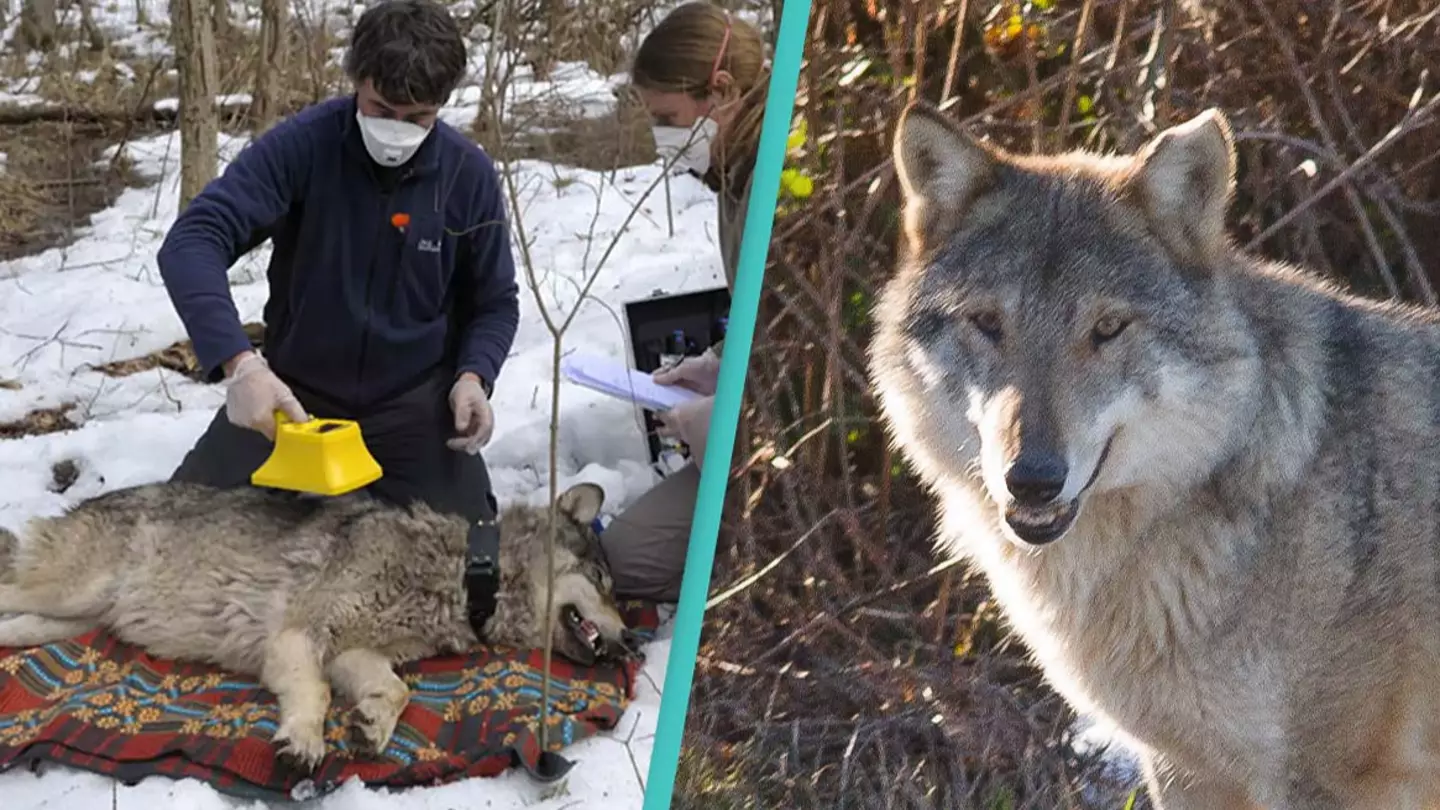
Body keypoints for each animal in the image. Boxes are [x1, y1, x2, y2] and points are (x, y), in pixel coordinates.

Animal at [0, 478, 636, 766]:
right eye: (603, 582)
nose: (631, 643)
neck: (464, 573)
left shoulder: (353, 652)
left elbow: (397, 690)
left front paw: (371, 726)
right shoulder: (298, 637)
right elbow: (317, 694)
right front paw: (304, 740)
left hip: (65, 620)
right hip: (68, 591)